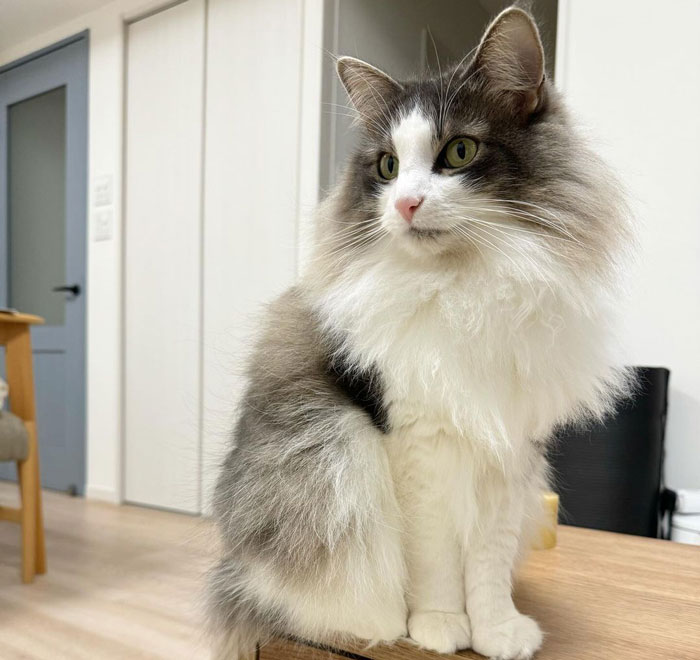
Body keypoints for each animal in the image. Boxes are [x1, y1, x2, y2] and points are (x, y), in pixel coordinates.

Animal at [206, 6, 628, 660]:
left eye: (458, 151)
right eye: (387, 166)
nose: (405, 204)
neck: (466, 292)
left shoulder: (507, 451)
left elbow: (487, 563)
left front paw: (498, 631)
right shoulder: (415, 445)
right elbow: (434, 560)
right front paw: (437, 626)